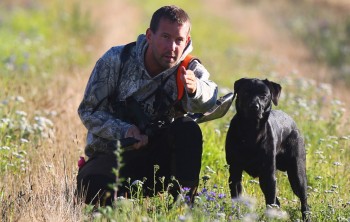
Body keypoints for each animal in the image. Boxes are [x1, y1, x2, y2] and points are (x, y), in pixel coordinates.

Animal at [224, 78, 308, 220]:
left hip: (297, 174)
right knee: (277, 202)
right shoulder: (235, 171)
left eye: (264, 95)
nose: (254, 106)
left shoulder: (268, 175)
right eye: (246, 92)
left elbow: (270, 203)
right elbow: (237, 199)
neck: (251, 131)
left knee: (304, 201)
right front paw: (236, 216)